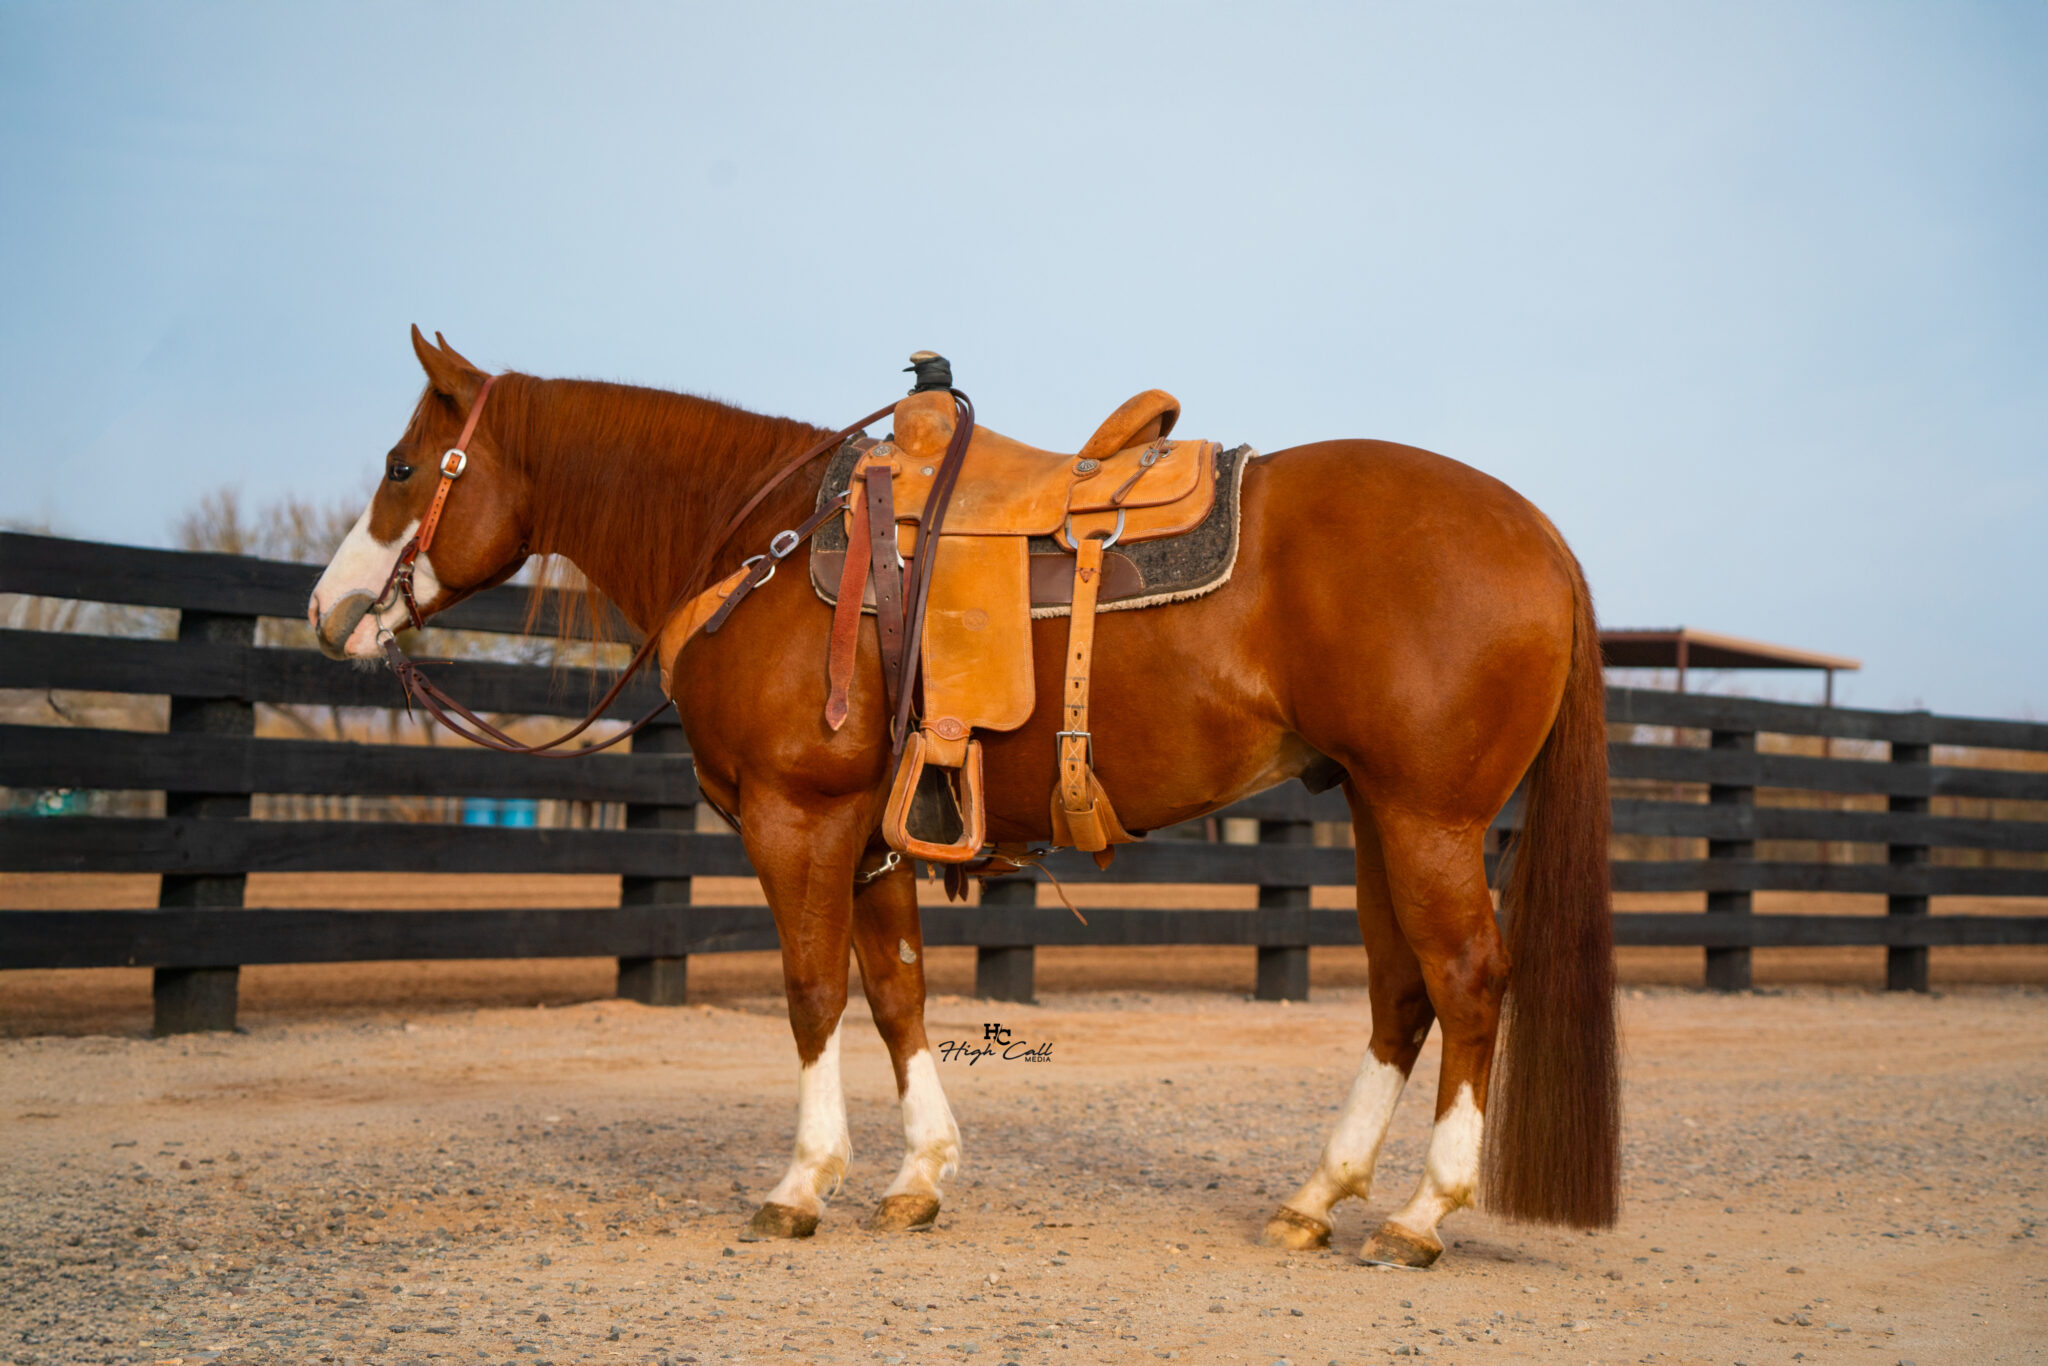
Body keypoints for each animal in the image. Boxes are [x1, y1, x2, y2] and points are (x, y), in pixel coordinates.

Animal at [306, 327, 1619, 1266]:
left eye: (404, 467)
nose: (329, 611)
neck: (762, 547)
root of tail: (1542, 536)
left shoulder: (796, 819)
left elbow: (809, 991)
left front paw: (802, 1184)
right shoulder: (873, 835)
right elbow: (895, 993)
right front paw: (916, 1176)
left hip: (1428, 819)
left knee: (1466, 980)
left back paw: (1420, 1213)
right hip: (1374, 813)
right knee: (1401, 993)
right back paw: (1316, 1197)